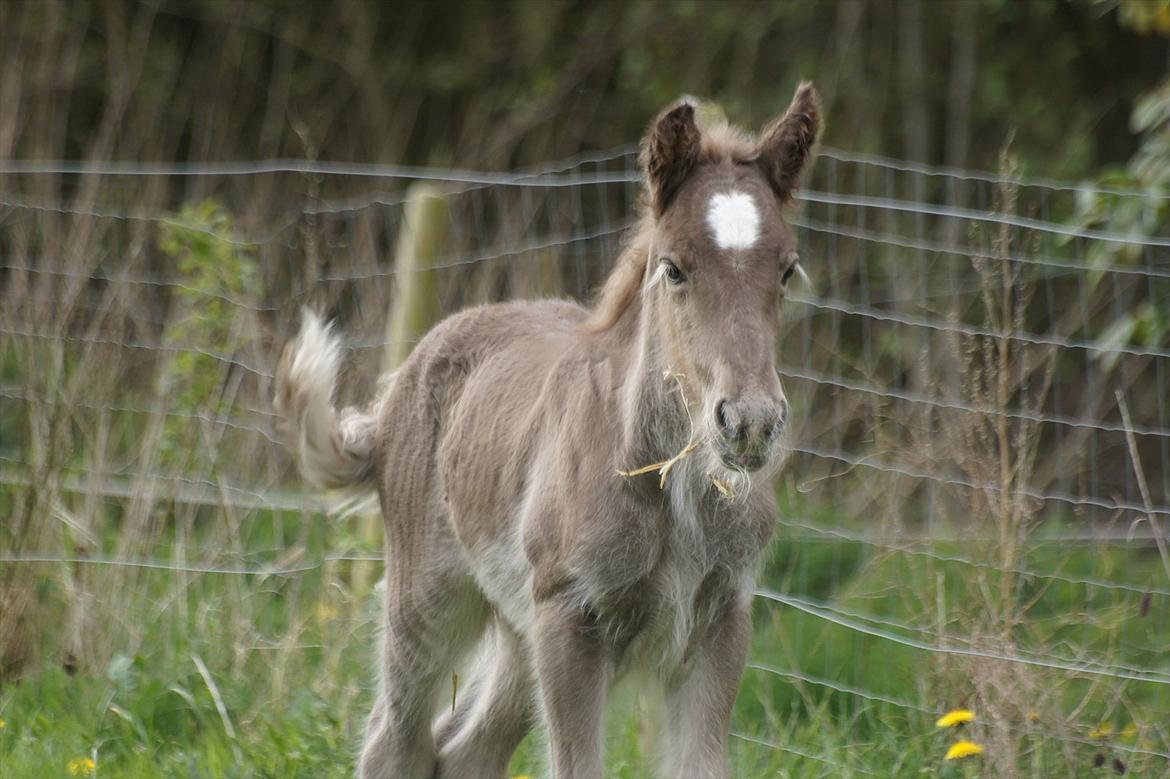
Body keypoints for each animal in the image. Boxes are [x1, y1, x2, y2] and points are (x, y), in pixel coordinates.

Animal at [277, 81, 819, 771]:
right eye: (673, 268)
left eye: (787, 269)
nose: (749, 423)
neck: (673, 488)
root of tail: (398, 382)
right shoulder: (570, 617)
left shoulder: (721, 623)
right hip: (427, 602)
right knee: (393, 742)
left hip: (515, 630)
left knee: (465, 750)